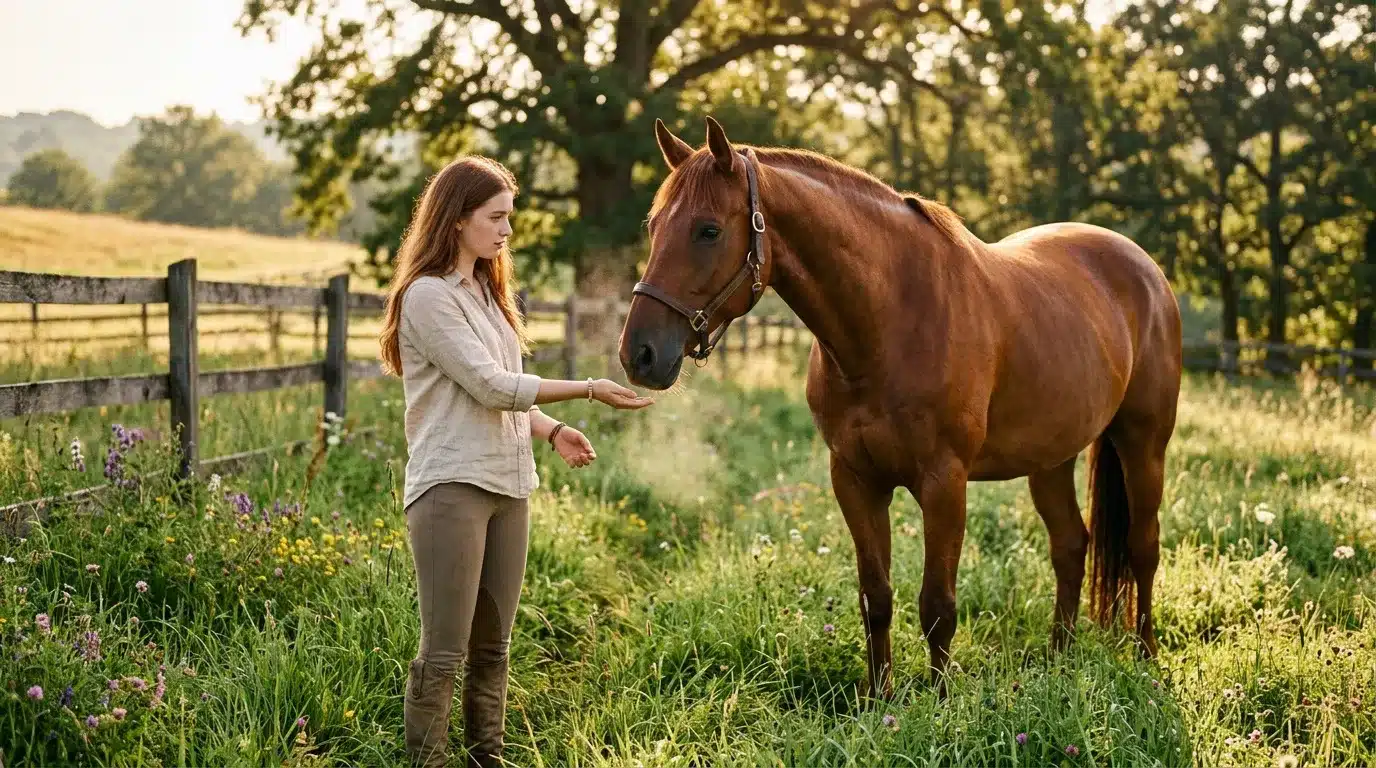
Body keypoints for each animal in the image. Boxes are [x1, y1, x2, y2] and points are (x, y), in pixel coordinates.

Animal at [618, 116, 1182, 700]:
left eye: (707, 230)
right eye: (654, 225)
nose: (640, 354)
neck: (890, 321)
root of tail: (1144, 267)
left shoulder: (943, 483)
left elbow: (937, 607)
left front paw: (939, 702)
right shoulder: (855, 480)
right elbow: (876, 599)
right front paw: (879, 699)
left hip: (1143, 444)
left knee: (1143, 546)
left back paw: (1145, 658)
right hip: (1050, 459)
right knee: (1071, 546)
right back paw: (1059, 660)